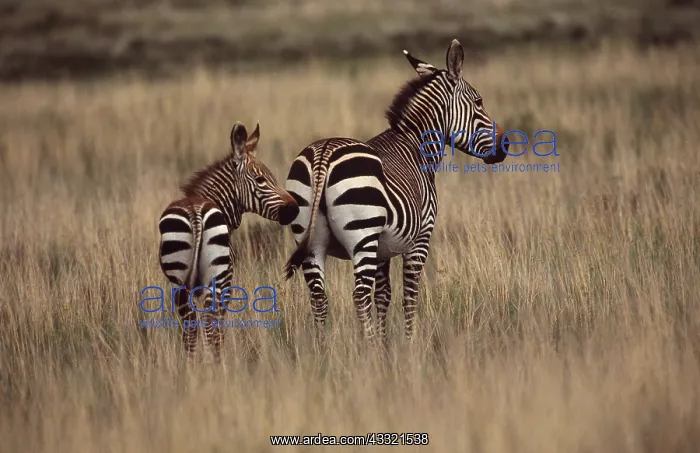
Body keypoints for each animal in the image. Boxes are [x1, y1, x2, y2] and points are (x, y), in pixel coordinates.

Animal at [158, 121, 298, 360]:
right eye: (261, 180)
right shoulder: (227, 282)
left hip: (179, 281)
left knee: (190, 325)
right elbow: (219, 325)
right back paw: (215, 361)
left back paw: (191, 364)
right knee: (209, 321)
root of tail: (196, 213)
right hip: (218, 278)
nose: (295, 208)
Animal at [283, 39, 509, 343]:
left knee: (319, 298)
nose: (504, 146)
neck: (416, 145)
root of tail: (323, 155)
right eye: (479, 102)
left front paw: (385, 344)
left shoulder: (383, 249)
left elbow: (384, 296)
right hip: (362, 235)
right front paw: (408, 343)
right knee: (359, 296)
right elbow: (409, 296)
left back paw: (324, 351)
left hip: (310, 241)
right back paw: (366, 349)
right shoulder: (420, 240)